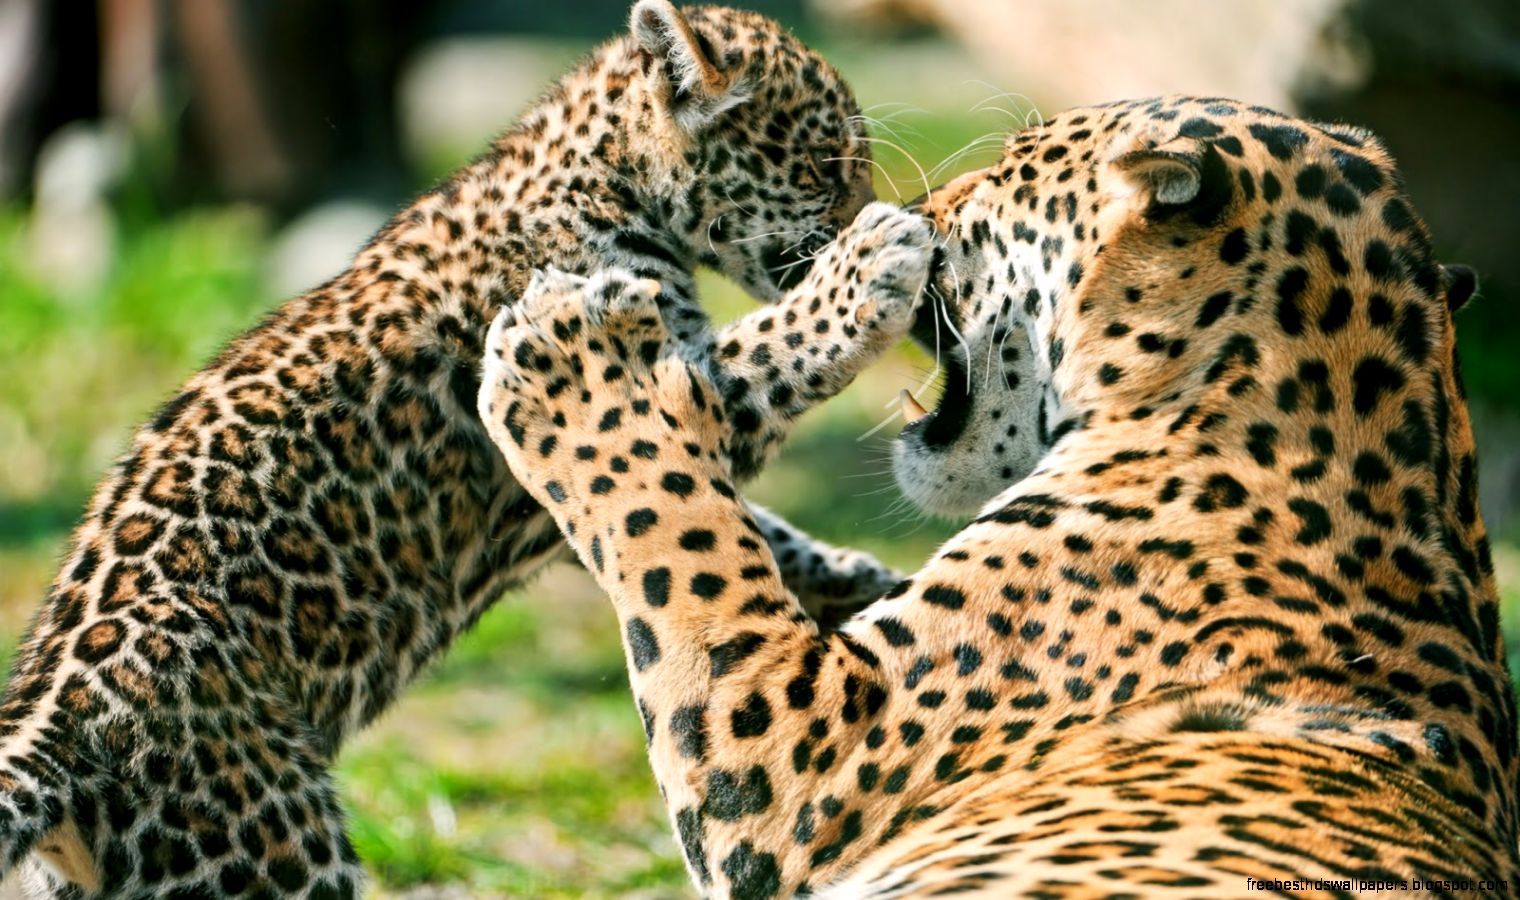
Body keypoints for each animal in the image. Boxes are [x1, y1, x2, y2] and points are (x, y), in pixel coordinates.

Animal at [0, 3, 935, 896]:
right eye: (827, 166)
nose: (867, 210)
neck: (602, 176)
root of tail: (53, 731)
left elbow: (718, 521)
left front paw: (855, 580)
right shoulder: (659, 382)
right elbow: (767, 354)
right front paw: (869, 263)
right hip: (271, 852)